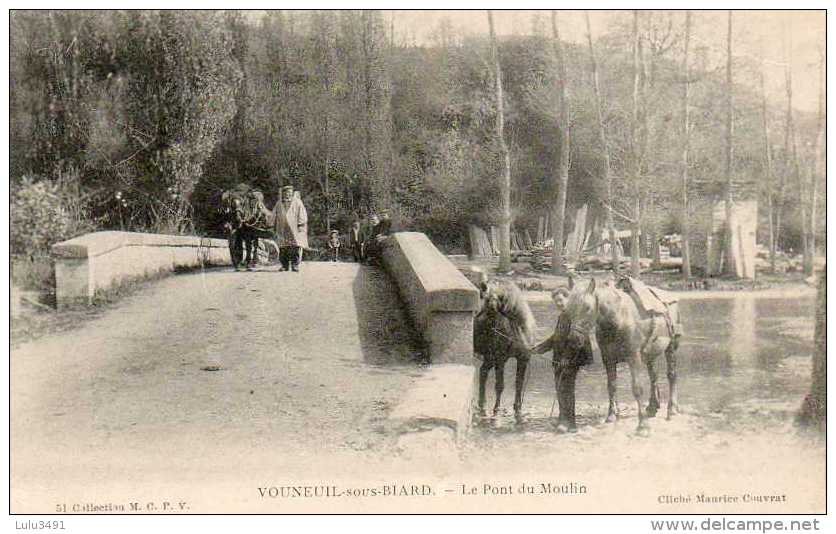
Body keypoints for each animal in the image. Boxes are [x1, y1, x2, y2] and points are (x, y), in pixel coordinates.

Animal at [474, 278, 540, 420]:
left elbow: (519, 383)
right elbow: (500, 385)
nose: (477, 318)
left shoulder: (523, 359)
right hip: (492, 358)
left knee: (483, 371)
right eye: (485, 300)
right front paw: (497, 409)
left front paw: (518, 408)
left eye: (489, 306)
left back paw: (482, 404)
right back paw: (483, 405)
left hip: (490, 358)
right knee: (484, 372)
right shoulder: (500, 359)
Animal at [540, 276, 684, 436]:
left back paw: (672, 410)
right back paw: (652, 407)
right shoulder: (608, 358)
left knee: (671, 375)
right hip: (650, 354)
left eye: (587, 308)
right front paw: (611, 416)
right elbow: (611, 385)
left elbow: (637, 388)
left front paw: (642, 426)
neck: (619, 319)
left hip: (671, 348)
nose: (573, 339)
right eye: (569, 310)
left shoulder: (633, 358)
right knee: (654, 376)